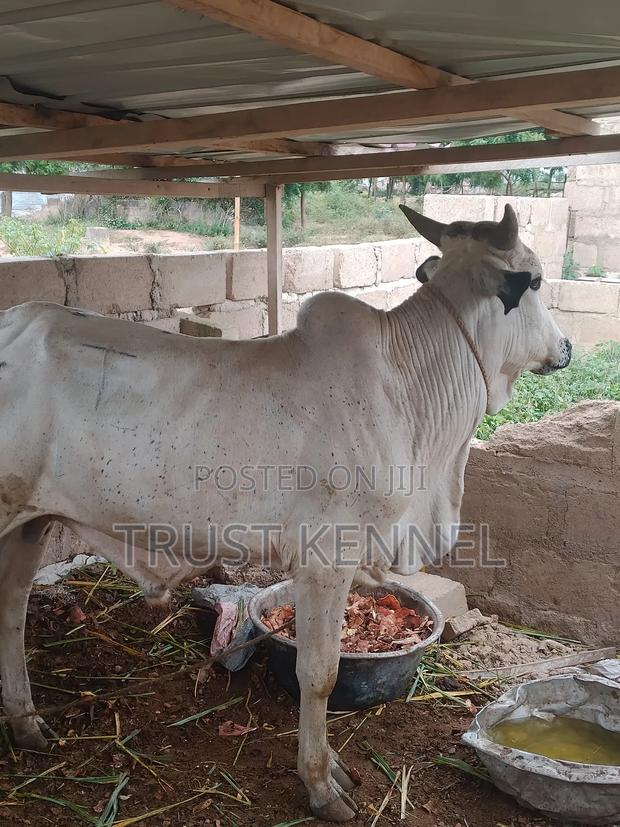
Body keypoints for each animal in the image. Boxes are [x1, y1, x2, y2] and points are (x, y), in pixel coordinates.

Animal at [0, 203, 571, 821]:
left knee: (11, 610)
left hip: (30, 521)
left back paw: (27, 724)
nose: (566, 347)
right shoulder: (327, 557)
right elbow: (319, 674)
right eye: (537, 281)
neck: (412, 393)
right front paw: (321, 784)